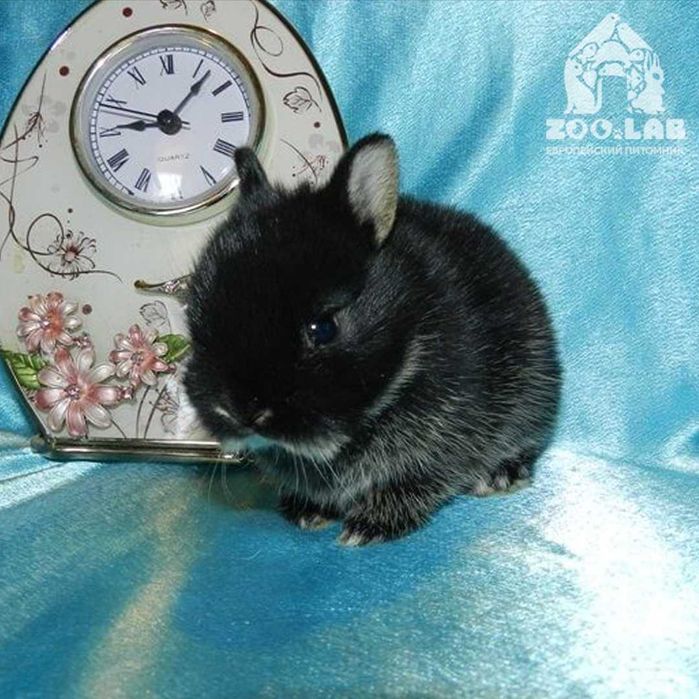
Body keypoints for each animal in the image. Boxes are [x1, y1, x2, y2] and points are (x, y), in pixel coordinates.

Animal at [184, 134, 562, 545]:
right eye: (195, 319)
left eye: (324, 328)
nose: (241, 411)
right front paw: (307, 512)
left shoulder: (439, 446)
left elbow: (416, 484)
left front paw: (367, 527)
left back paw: (500, 477)